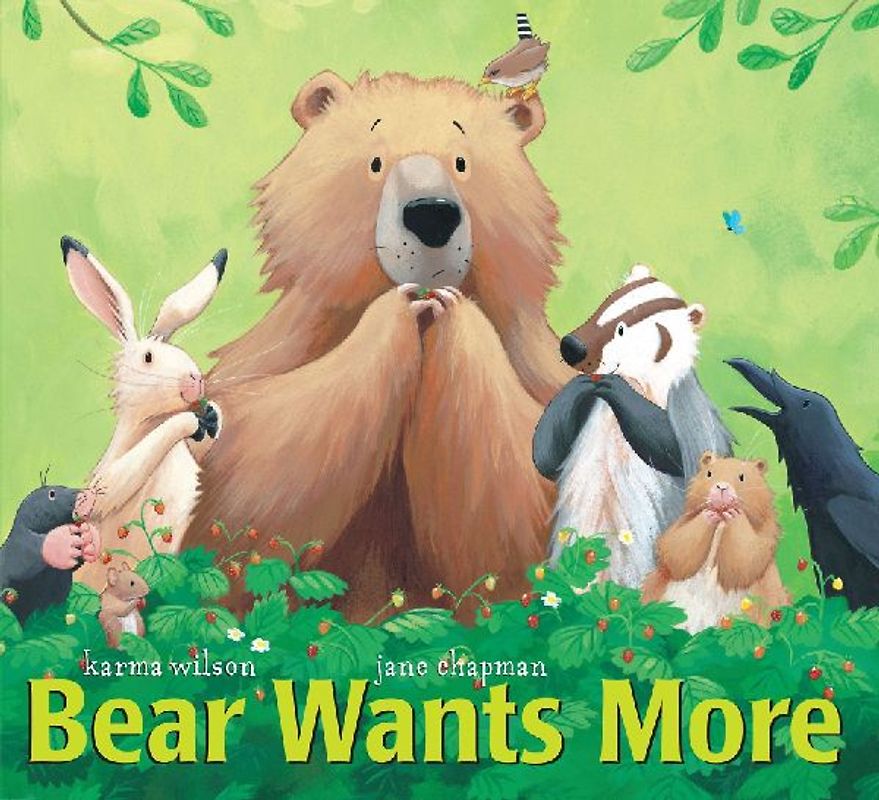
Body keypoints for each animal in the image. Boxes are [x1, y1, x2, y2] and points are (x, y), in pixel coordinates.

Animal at [184, 71, 572, 615]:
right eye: (375, 162)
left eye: (462, 161)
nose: (431, 216)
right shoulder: (285, 346)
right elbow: (243, 485)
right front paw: (396, 313)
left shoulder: (538, 367)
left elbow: (528, 504)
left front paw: (454, 318)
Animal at [641, 452, 790, 633]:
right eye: (709, 473)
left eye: (742, 477)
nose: (721, 487)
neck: (721, 524)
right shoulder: (680, 528)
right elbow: (677, 550)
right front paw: (709, 513)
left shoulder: (761, 538)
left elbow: (746, 559)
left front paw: (733, 513)